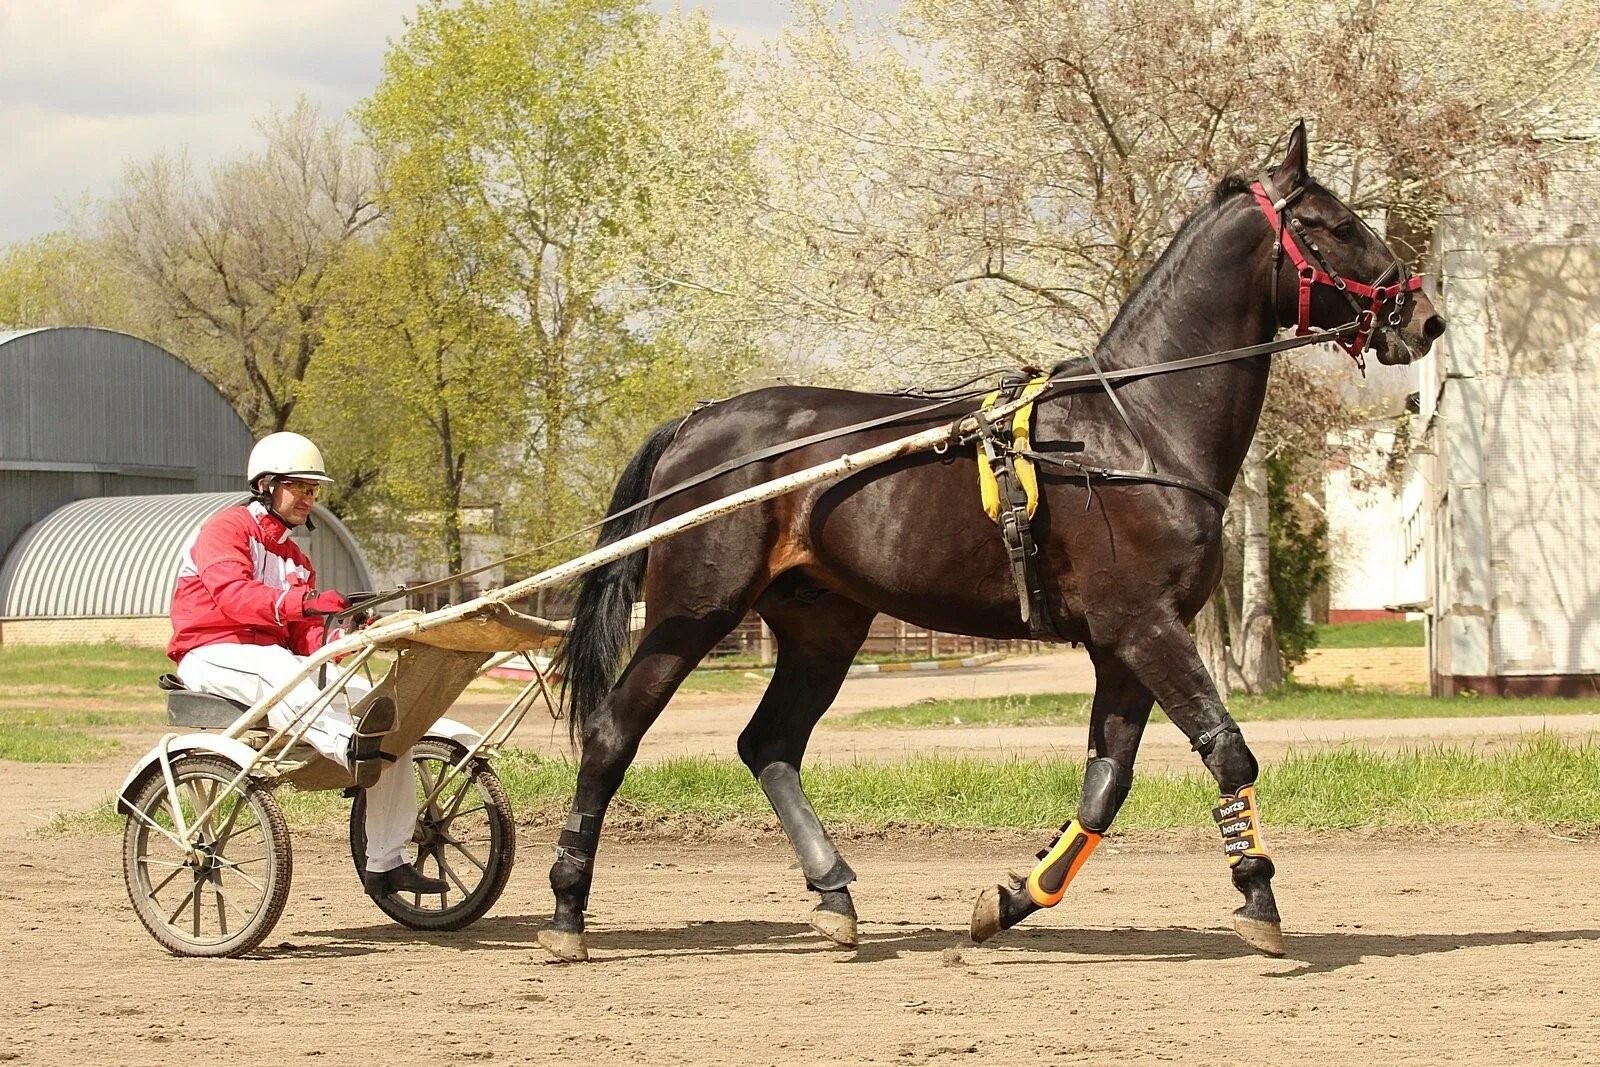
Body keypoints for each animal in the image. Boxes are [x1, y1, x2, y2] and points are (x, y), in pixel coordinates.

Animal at [537, 120, 1452, 966]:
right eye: (1335, 223)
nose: (1426, 315)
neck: (1133, 427)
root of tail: (697, 422)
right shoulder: (1145, 626)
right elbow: (1227, 751)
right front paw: (1257, 896)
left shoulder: (1122, 644)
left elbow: (1105, 786)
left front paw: (1011, 899)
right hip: (695, 609)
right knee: (613, 734)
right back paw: (567, 910)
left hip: (822, 624)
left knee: (769, 744)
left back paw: (834, 894)